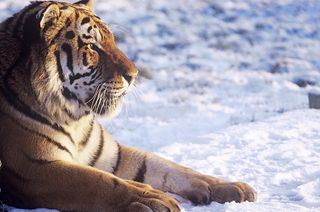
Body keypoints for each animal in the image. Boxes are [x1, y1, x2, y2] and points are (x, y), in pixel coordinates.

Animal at [0, 0, 256, 210]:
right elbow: (100, 182)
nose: (134, 75)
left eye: (113, 40)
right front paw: (152, 200)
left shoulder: (111, 154)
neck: (74, 120)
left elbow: (169, 166)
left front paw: (230, 186)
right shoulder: (35, 166)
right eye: (92, 47)